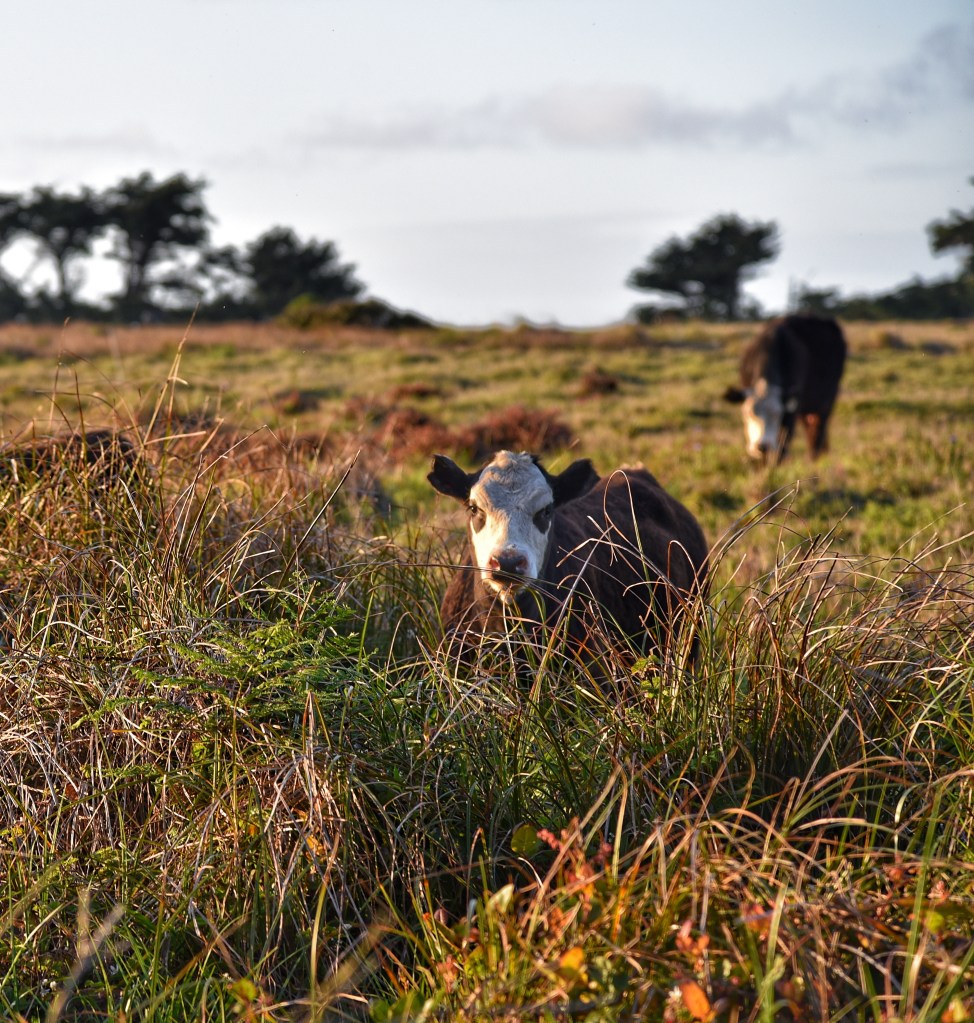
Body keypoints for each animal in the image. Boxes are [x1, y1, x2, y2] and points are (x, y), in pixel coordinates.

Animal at [724, 315, 847, 464]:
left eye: (777, 414)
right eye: (749, 413)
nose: (762, 446)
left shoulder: (790, 413)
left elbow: (783, 446)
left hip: (826, 402)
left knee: (817, 432)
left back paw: (814, 459)